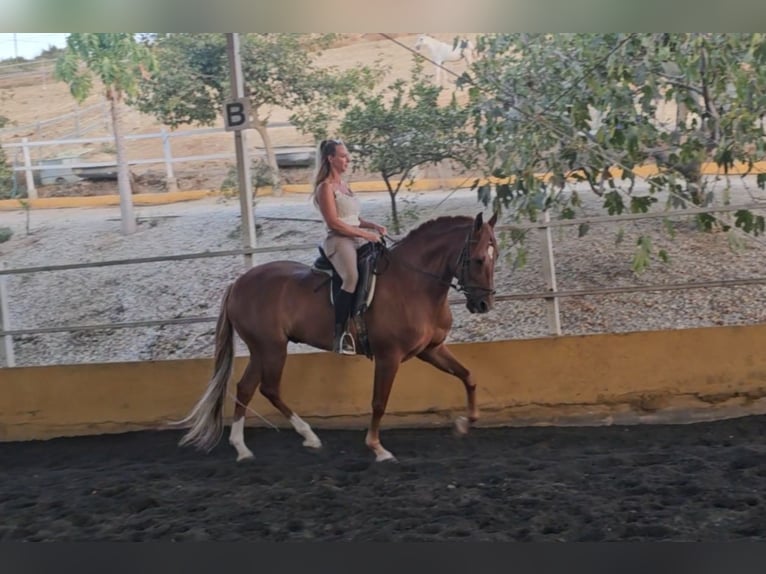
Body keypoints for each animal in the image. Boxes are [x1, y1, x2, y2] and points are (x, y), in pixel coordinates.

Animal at [176, 212, 499, 463]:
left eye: (495, 257)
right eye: (478, 259)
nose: (483, 304)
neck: (414, 284)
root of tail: (239, 283)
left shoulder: (431, 349)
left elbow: (468, 375)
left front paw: (464, 423)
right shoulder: (389, 357)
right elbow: (379, 401)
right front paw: (377, 448)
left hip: (261, 349)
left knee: (245, 388)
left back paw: (243, 448)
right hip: (272, 349)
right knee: (268, 388)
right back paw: (306, 436)